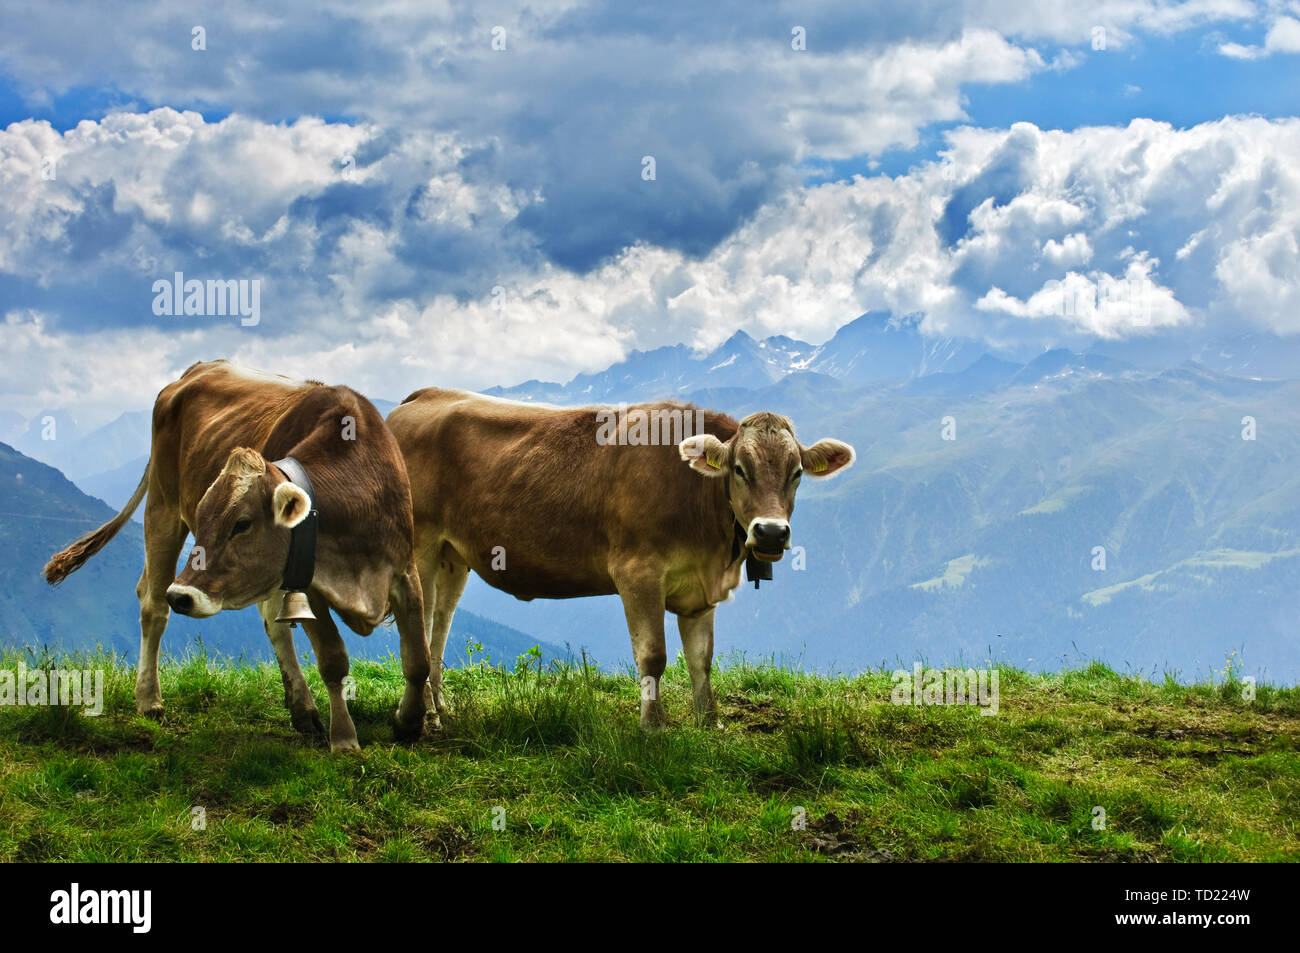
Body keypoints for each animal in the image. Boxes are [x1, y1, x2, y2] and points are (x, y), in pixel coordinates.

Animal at [43, 361, 431, 748]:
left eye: (241, 524)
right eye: (202, 518)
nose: (181, 595)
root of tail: (197, 368)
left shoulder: (403, 571)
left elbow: (418, 659)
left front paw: (409, 723)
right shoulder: (310, 583)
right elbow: (333, 660)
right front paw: (345, 739)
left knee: (271, 621)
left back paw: (302, 709)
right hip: (163, 506)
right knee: (152, 602)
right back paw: (149, 699)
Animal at [384, 387, 852, 728]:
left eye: (796, 473)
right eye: (740, 469)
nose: (771, 532)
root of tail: (423, 397)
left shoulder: (699, 590)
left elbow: (702, 660)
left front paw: (709, 723)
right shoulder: (637, 572)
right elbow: (654, 655)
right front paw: (653, 725)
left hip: (452, 554)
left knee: (440, 623)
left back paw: (441, 709)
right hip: (420, 544)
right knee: (420, 622)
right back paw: (418, 713)